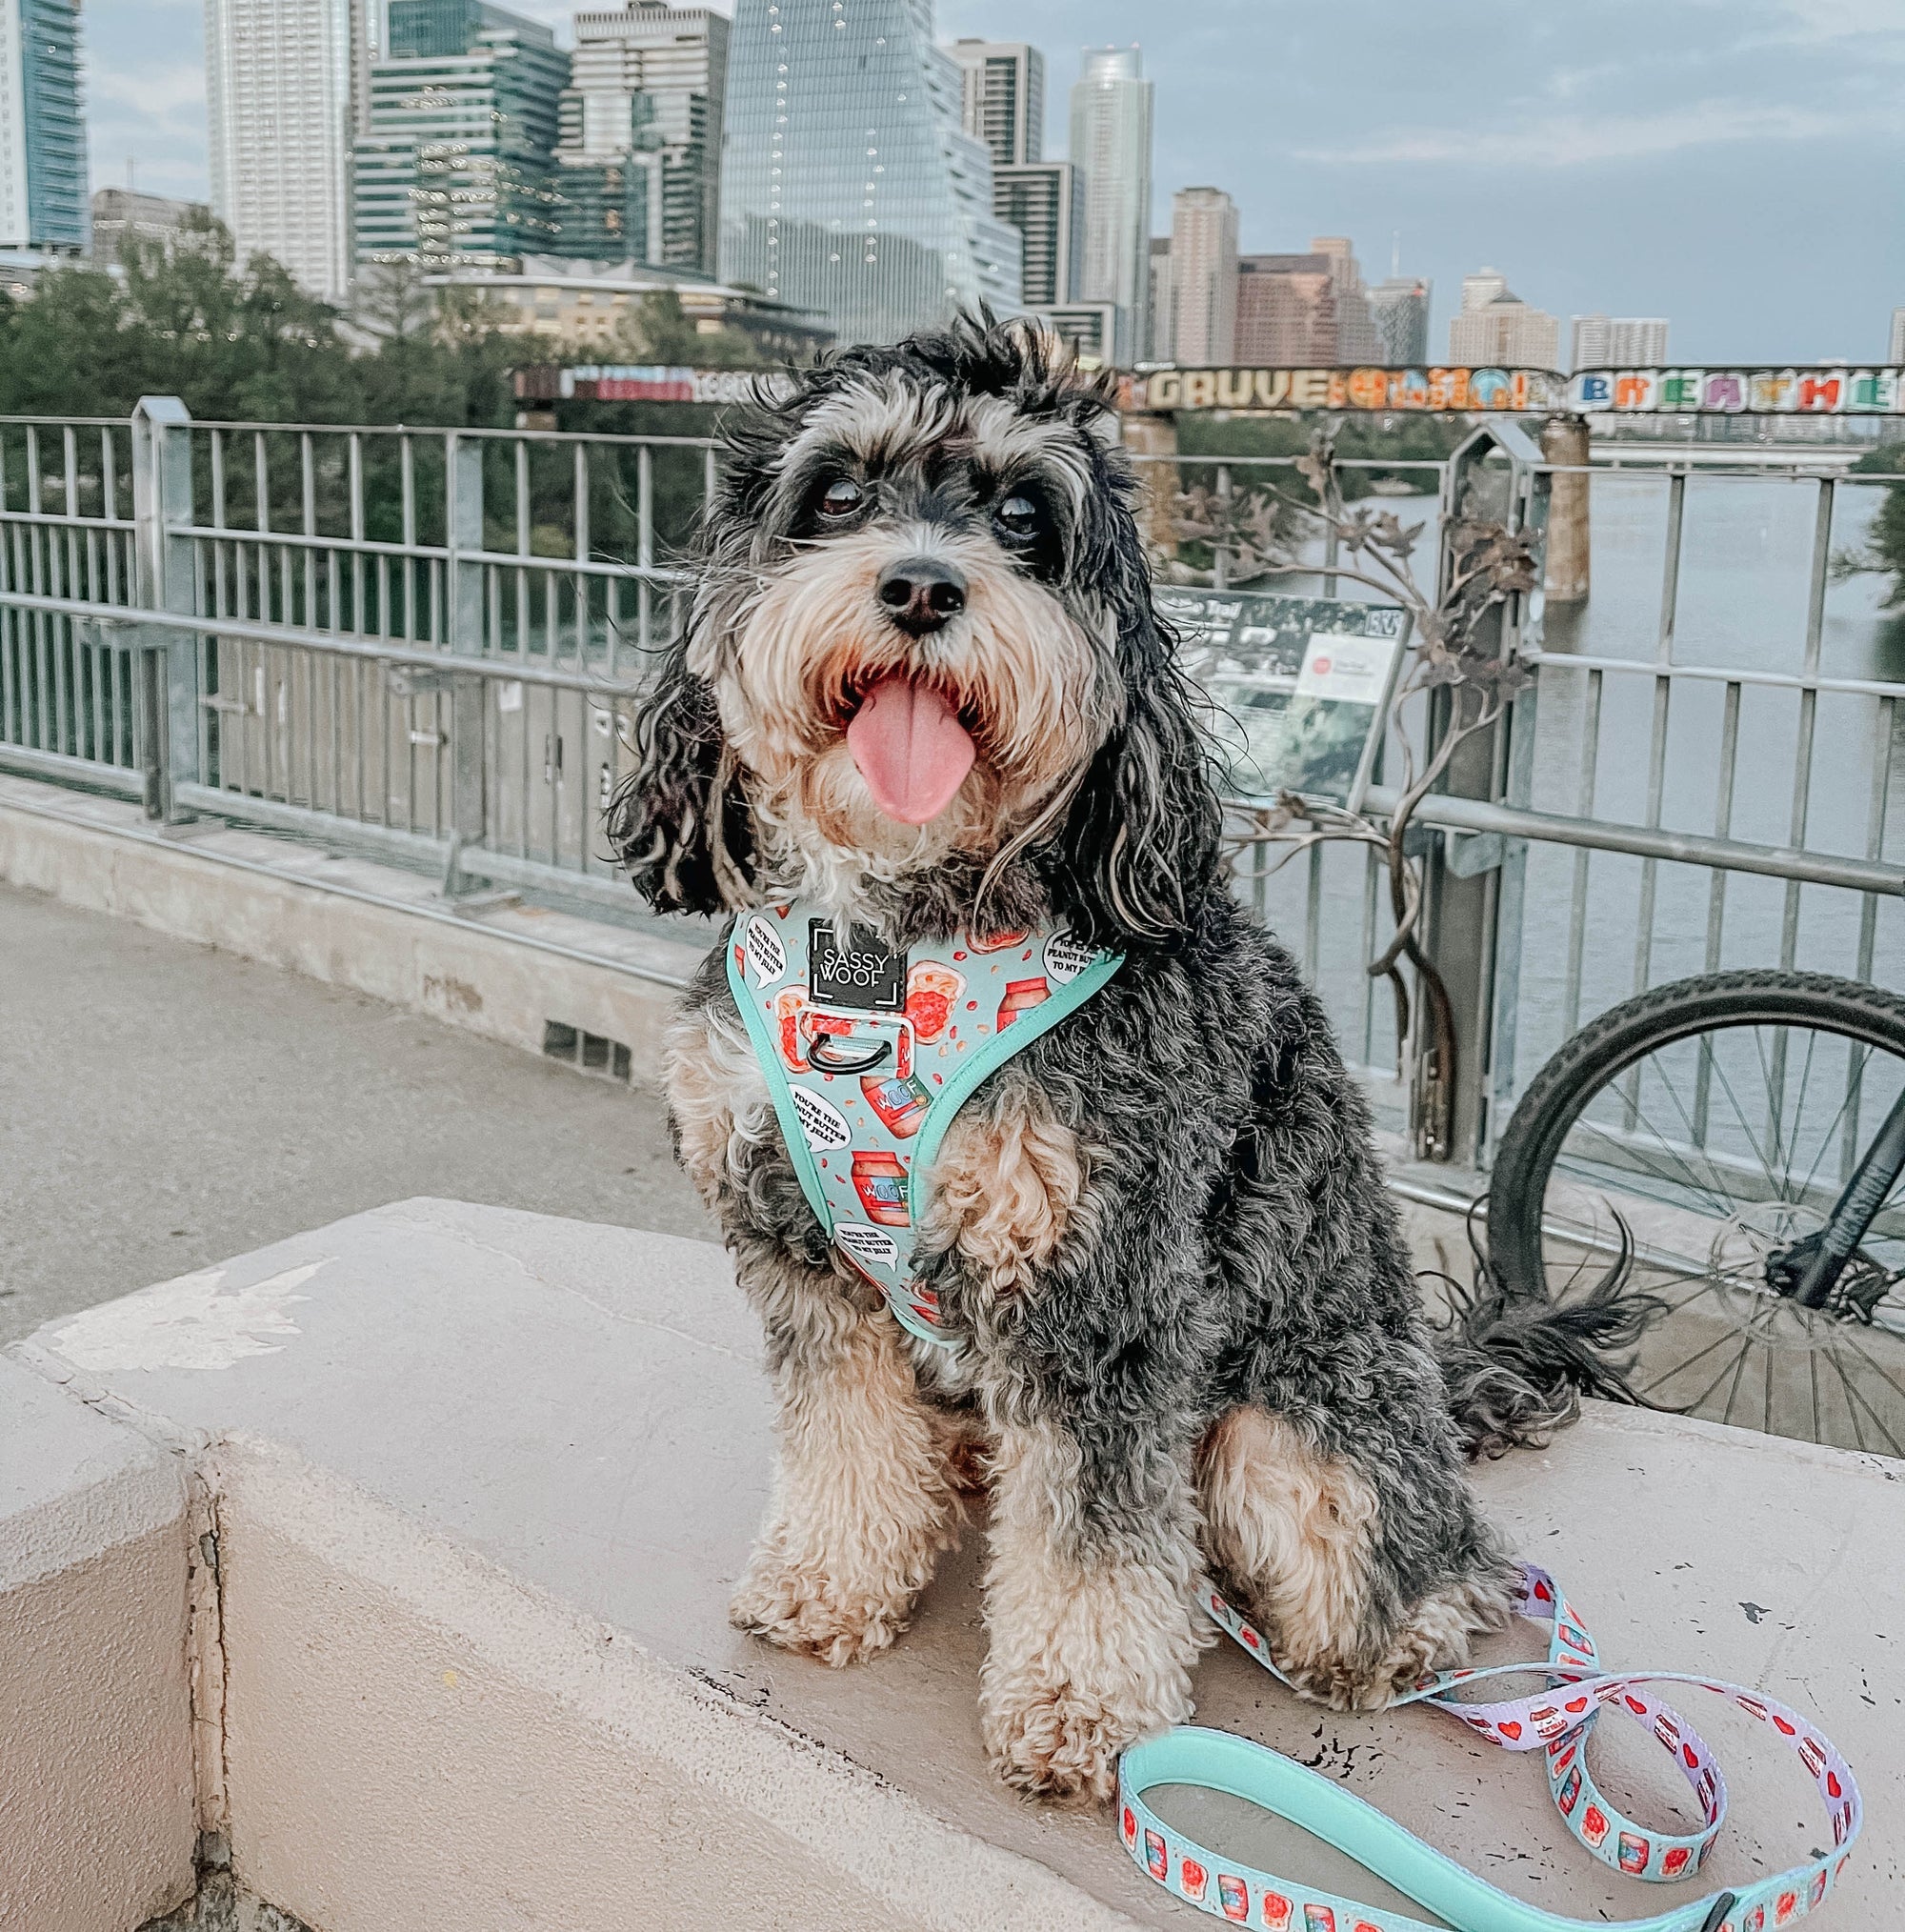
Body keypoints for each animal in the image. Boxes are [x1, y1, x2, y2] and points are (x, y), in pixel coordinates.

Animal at [614, 309, 1630, 1801]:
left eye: (1025, 520)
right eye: (839, 496)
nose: (920, 587)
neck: (891, 949)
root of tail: (1437, 1386)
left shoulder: (1105, 1279)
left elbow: (1095, 1539)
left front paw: (1083, 1711)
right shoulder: (799, 1246)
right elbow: (844, 1438)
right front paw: (828, 1584)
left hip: (1292, 1428)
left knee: (1435, 1560)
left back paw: (1384, 1640)